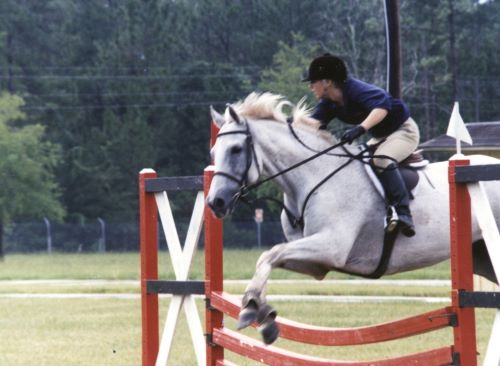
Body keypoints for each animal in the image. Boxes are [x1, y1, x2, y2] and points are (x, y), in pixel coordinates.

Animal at [205, 93, 498, 344]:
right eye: (213, 153)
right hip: (482, 257)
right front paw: (265, 316)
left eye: (235, 149)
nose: (215, 202)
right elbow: (269, 257)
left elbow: (271, 253)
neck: (311, 176)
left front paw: (251, 306)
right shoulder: (317, 264)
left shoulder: (331, 247)